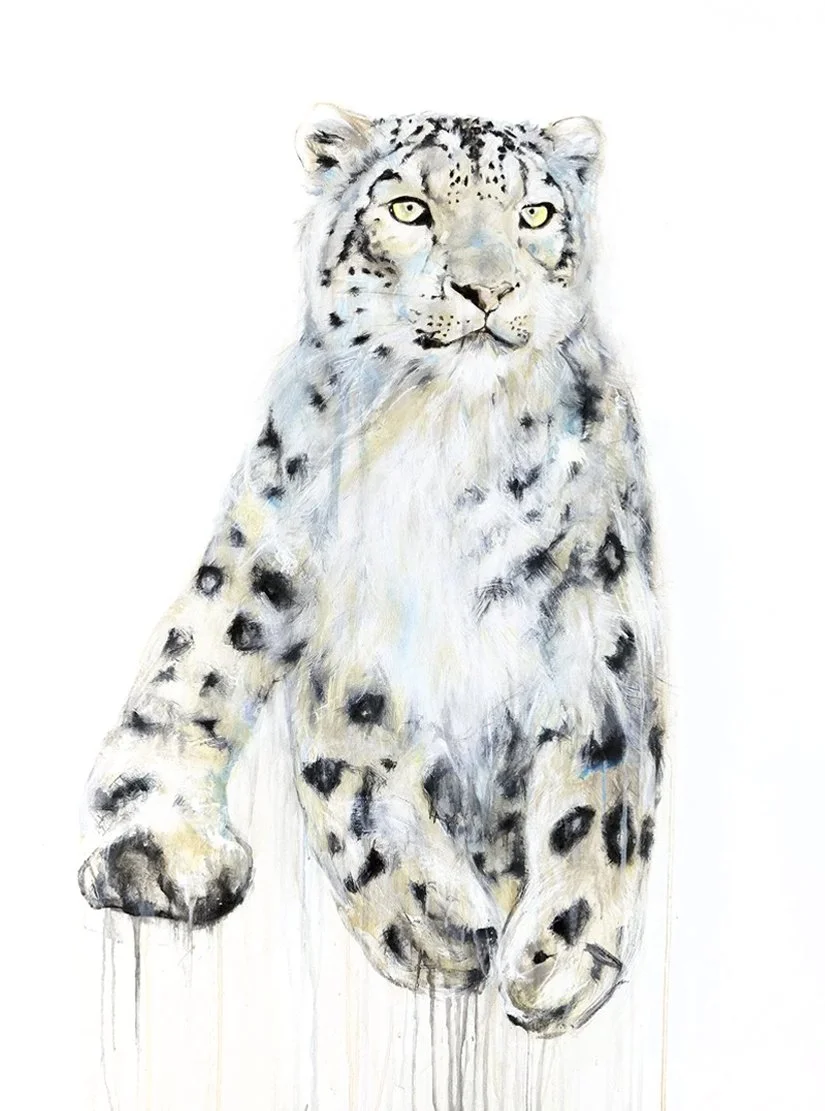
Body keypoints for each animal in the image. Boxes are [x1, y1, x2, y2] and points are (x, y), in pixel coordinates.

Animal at [78, 105, 665, 1037]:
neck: (452, 439)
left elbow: (597, 788)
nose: (487, 291)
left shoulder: (594, 613)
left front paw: (558, 956)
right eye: (409, 209)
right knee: (187, 672)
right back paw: (162, 852)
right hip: (259, 556)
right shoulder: (353, 651)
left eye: (534, 214)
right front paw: (437, 929)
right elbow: (361, 787)